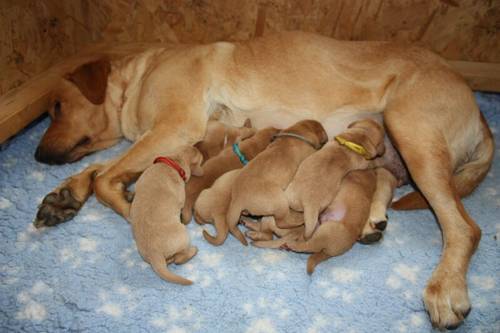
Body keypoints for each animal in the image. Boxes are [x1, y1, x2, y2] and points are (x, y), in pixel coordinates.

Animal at [131, 145, 205, 286]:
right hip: (183, 235)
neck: (173, 162)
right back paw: (193, 250)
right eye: (200, 159)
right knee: (179, 259)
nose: (198, 148)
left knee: (172, 260)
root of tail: (155, 255)